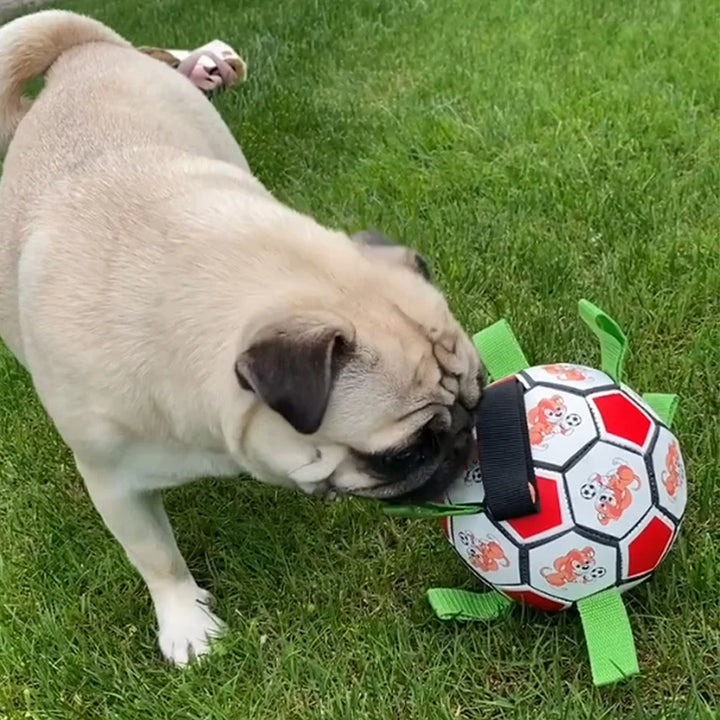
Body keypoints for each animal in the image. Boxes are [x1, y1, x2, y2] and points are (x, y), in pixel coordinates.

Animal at [0, 11, 484, 668]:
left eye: (482, 393)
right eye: (403, 454)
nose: (467, 439)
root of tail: (82, 51)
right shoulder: (111, 480)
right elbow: (155, 556)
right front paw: (185, 622)